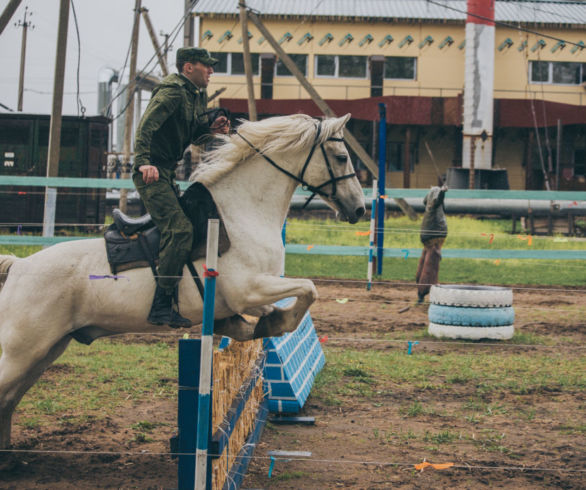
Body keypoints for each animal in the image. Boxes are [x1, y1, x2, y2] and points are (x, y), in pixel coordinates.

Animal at [0, 113, 364, 446]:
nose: (359, 209)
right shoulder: (249, 289)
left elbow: (279, 308)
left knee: (9, 400)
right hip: (23, 350)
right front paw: (272, 324)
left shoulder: (250, 296)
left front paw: (256, 325)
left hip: (47, 351)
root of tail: (19, 266)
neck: (241, 214)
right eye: (341, 156)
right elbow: (307, 291)